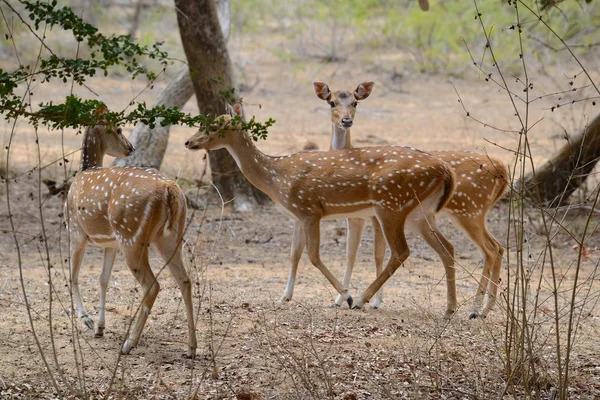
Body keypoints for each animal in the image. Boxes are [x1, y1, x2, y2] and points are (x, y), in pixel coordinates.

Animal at [65, 115, 197, 356]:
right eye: (117, 129)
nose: (131, 147)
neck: (84, 170)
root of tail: (170, 188)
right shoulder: (110, 244)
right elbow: (103, 279)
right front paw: (99, 328)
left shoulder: (76, 232)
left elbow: (73, 275)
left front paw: (87, 320)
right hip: (169, 238)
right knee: (185, 280)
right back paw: (192, 348)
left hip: (131, 237)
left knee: (152, 285)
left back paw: (129, 343)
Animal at [185, 104, 458, 316]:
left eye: (215, 126)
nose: (188, 141)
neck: (277, 178)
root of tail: (445, 170)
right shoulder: (297, 216)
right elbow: (294, 254)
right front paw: (284, 296)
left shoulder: (309, 210)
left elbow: (314, 256)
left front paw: (345, 296)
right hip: (420, 213)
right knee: (447, 248)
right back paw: (450, 308)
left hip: (391, 204)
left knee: (401, 251)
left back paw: (361, 300)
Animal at [312, 82, 508, 318]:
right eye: (332, 102)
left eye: (355, 102)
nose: (346, 120)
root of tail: (503, 170)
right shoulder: (356, 217)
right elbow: (351, 254)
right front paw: (340, 299)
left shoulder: (374, 216)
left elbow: (377, 253)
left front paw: (374, 301)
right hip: (467, 213)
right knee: (496, 247)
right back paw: (479, 309)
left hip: (468, 210)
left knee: (489, 249)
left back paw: (476, 310)